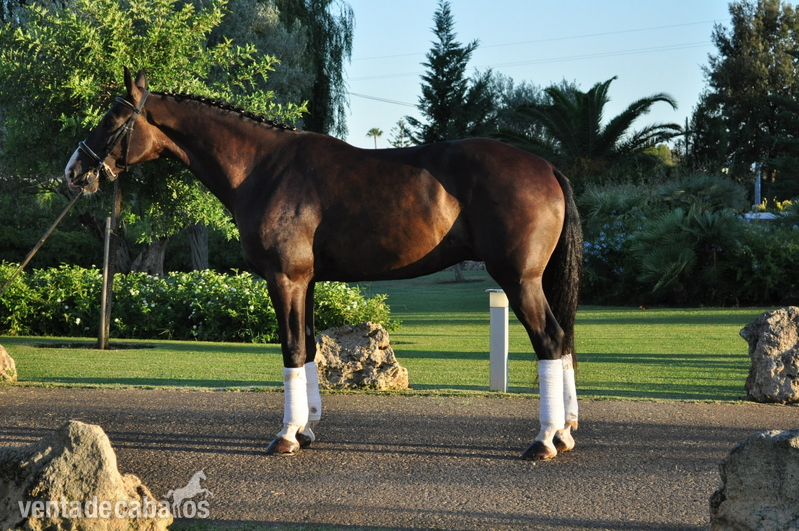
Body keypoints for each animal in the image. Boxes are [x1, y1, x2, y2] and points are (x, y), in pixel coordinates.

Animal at [65, 69, 583, 461]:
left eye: (113, 118)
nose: (74, 171)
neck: (262, 168)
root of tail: (546, 168)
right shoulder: (307, 282)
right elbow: (310, 347)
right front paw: (307, 429)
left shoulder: (285, 279)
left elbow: (292, 350)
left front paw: (285, 437)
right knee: (563, 342)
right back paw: (564, 432)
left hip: (518, 280)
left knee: (550, 341)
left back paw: (543, 441)